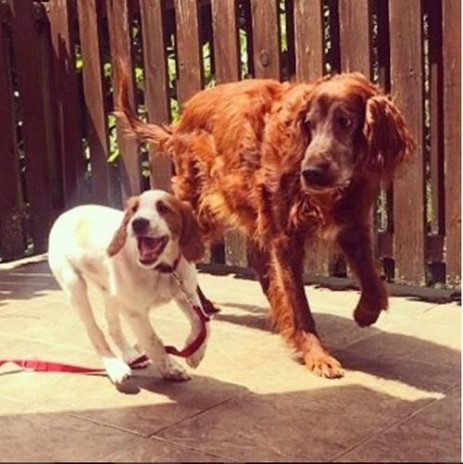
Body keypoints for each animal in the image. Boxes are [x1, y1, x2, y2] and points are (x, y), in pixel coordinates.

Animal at [48, 189, 210, 384]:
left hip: (111, 293)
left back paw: (131, 355)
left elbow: (203, 324)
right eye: (134, 209)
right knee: (95, 331)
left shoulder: (187, 294)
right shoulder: (134, 310)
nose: (138, 223)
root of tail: (67, 213)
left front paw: (195, 354)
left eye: (163, 208)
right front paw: (171, 369)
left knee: (112, 326)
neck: (163, 269)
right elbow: (153, 340)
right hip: (74, 284)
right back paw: (114, 366)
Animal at [115, 71, 414, 378]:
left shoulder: (352, 226)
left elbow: (373, 283)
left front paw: (365, 312)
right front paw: (316, 355)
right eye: (309, 124)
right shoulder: (285, 238)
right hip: (201, 210)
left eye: (346, 122)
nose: (310, 173)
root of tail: (183, 117)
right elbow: (298, 305)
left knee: (256, 263)